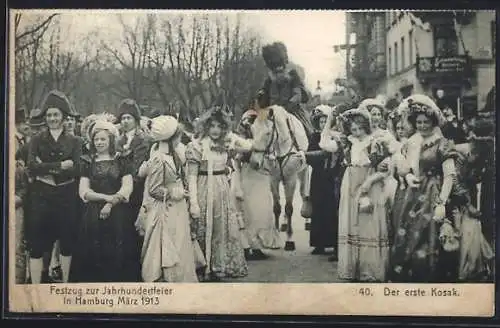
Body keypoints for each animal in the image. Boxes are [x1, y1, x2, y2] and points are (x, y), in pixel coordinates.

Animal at [250, 105, 312, 251]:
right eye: (253, 131)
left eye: (268, 133)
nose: (254, 163)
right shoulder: (273, 179)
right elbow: (277, 207)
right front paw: (275, 235)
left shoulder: (291, 179)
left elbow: (289, 208)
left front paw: (289, 239)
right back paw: (284, 224)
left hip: (303, 172)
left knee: (303, 193)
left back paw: (307, 222)